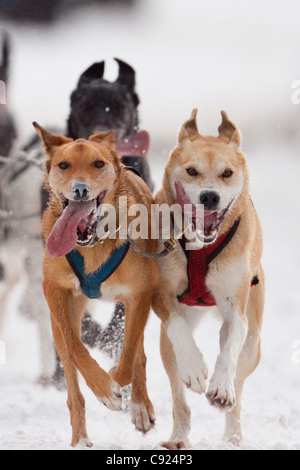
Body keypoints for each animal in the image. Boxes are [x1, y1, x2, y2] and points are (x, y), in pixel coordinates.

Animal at [33, 123, 158, 446]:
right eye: (64, 165)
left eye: (98, 164)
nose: (80, 189)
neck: (93, 242)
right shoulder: (55, 291)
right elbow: (74, 345)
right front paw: (103, 388)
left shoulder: (139, 295)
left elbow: (129, 356)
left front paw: (118, 386)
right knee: (73, 388)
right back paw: (79, 438)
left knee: (138, 354)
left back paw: (139, 406)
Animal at [152, 109, 264, 448]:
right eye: (192, 171)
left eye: (227, 173)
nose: (210, 197)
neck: (200, 247)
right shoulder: (160, 294)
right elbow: (177, 328)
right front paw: (196, 368)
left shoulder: (236, 307)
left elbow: (230, 347)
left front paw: (220, 385)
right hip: (167, 347)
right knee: (179, 398)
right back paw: (178, 436)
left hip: (253, 344)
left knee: (238, 387)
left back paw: (231, 433)